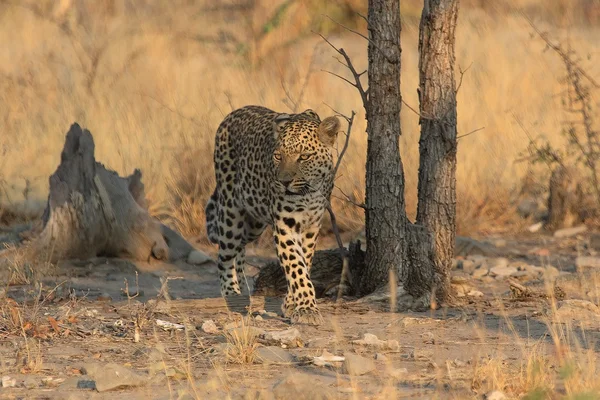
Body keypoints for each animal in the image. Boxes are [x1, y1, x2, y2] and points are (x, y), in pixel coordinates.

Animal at [205, 105, 338, 324]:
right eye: (277, 156)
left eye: (304, 157)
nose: (283, 182)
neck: (308, 192)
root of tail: (232, 114)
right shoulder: (285, 225)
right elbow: (295, 266)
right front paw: (306, 309)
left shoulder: (311, 226)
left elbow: (304, 261)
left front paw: (292, 304)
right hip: (231, 212)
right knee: (225, 254)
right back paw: (232, 293)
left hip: (254, 222)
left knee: (240, 247)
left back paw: (243, 284)